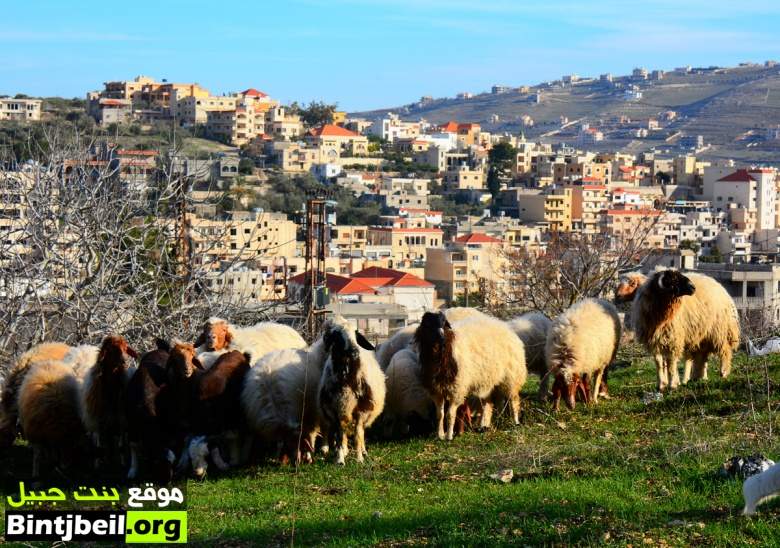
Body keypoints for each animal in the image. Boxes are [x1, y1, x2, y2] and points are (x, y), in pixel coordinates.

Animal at [316, 316, 386, 462]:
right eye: (337, 335)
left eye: (356, 334)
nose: (354, 352)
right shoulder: (336, 407)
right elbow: (340, 433)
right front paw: (340, 457)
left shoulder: (361, 409)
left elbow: (358, 434)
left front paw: (359, 458)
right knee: (329, 427)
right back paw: (331, 448)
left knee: (361, 430)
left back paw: (363, 451)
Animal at [412, 312, 528, 440]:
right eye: (429, 324)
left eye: (444, 323)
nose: (442, 337)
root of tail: (505, 327)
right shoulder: (436, 391)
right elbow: (440, 415)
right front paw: (440, 435)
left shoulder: (456, 390)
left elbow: (450, 414)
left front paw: (449, 436)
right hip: (487, 380)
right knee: (487, 404)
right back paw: (484, 425)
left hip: (511, 376)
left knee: (513, 400)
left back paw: (515, 422)